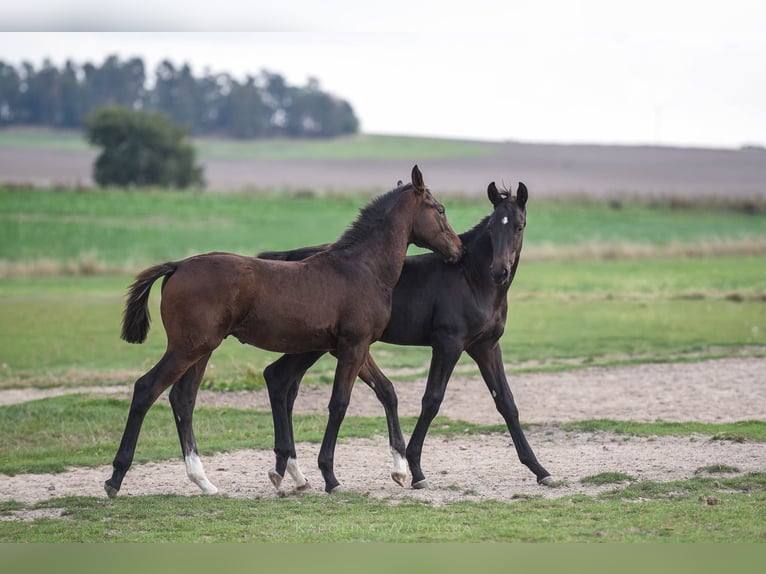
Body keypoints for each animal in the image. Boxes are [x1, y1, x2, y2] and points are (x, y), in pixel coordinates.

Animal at [105, 165, 463, 497]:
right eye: (440, 209)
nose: (458, 250)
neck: (361, 268)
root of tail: (178, 265)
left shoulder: (354, 347)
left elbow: (386, 390)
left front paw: (402, 471)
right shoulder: (353, 346)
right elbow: (339, 403)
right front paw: (330, 477)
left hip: (202, 350)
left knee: (183, 400)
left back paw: (203, 482)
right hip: (187, 348)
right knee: (146, 389)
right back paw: (115, 479)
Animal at [258, 180, 553, 491]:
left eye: (519, 226)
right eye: (493, 228)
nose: (499, 271)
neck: (472, 278)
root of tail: (289, 257)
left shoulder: (486, 347)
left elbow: (506, 402)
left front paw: (539, 469)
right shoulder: (448, 344)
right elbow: (432, 400)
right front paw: (416, 469)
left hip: (312, 345)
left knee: (282, 381)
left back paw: (294, 472)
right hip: (316, 345)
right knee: (281, 380)